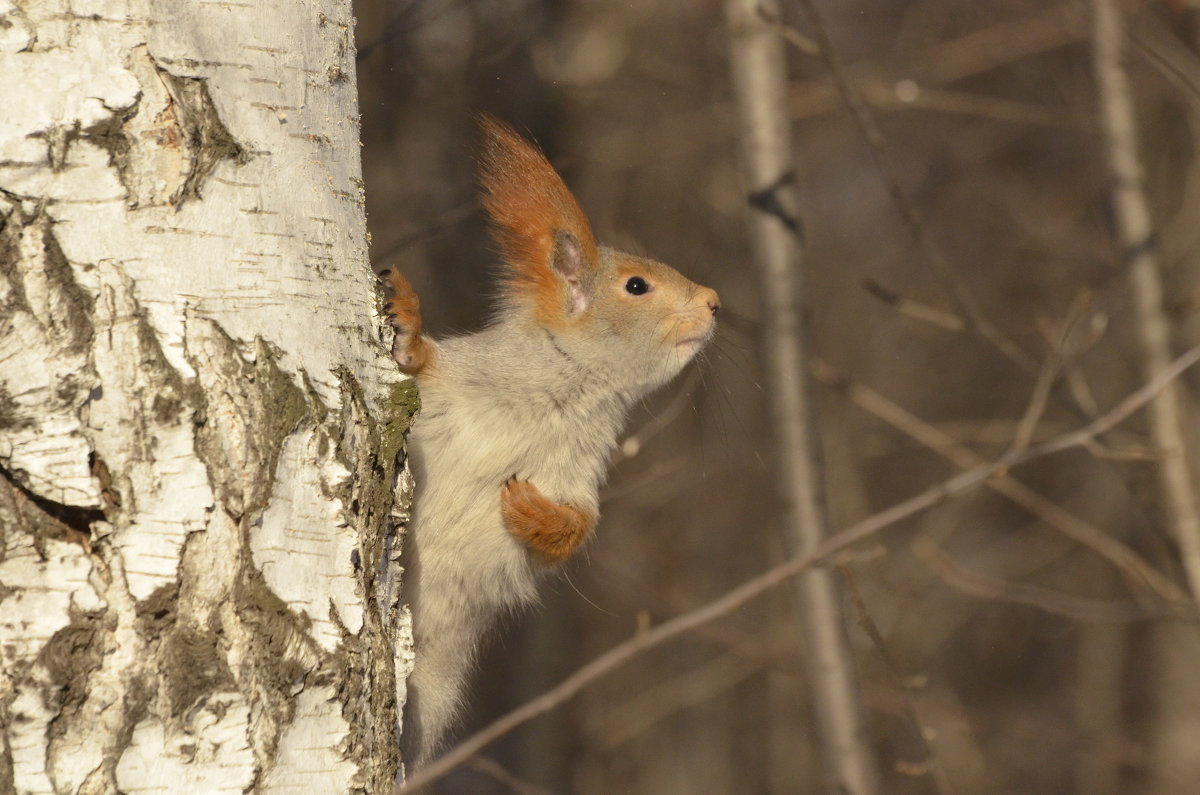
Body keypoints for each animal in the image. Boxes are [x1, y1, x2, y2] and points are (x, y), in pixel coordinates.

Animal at [384, 115, 715, 768]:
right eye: (636, 286)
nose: (715, 302)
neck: (563, 393)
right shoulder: (452, 390)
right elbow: (422, 369)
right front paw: (407, 327)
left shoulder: (577, 470)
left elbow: (578, 528)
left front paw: (536, 515)